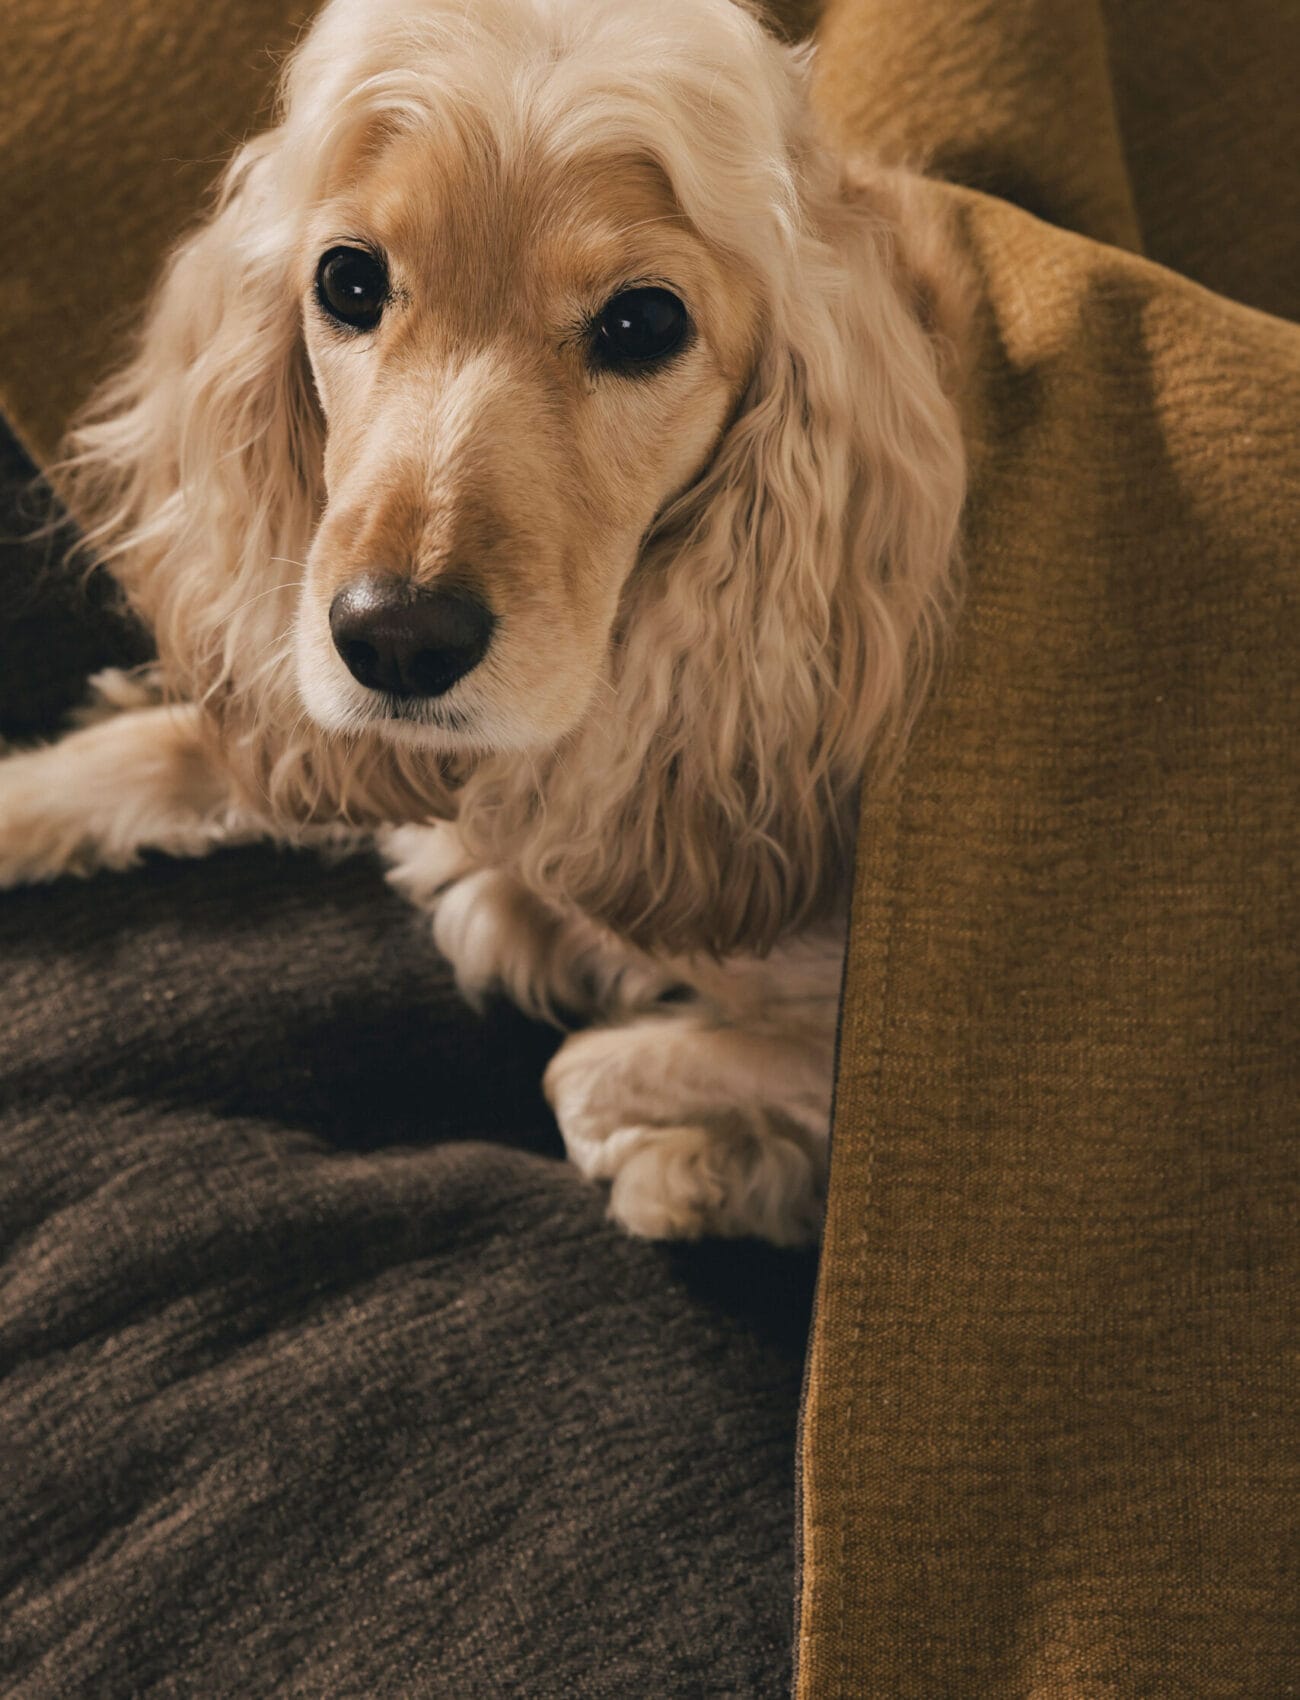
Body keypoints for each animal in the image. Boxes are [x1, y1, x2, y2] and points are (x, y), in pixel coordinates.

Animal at [0, 0, 968, 1245]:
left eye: (643, 320)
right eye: (349, 281)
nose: (394, 638)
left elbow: (583, 1075)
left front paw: (705, 1163)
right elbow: (173, 752)